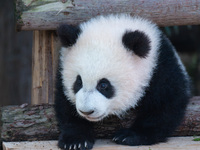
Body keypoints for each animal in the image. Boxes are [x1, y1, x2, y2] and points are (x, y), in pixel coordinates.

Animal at [54, 14, 191, 150]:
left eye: (103, 85)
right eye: (78, 82)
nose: (86, 111)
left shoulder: (161, 68)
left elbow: (165, 105)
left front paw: (130, 136)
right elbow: (66, 106)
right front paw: (75, 141)